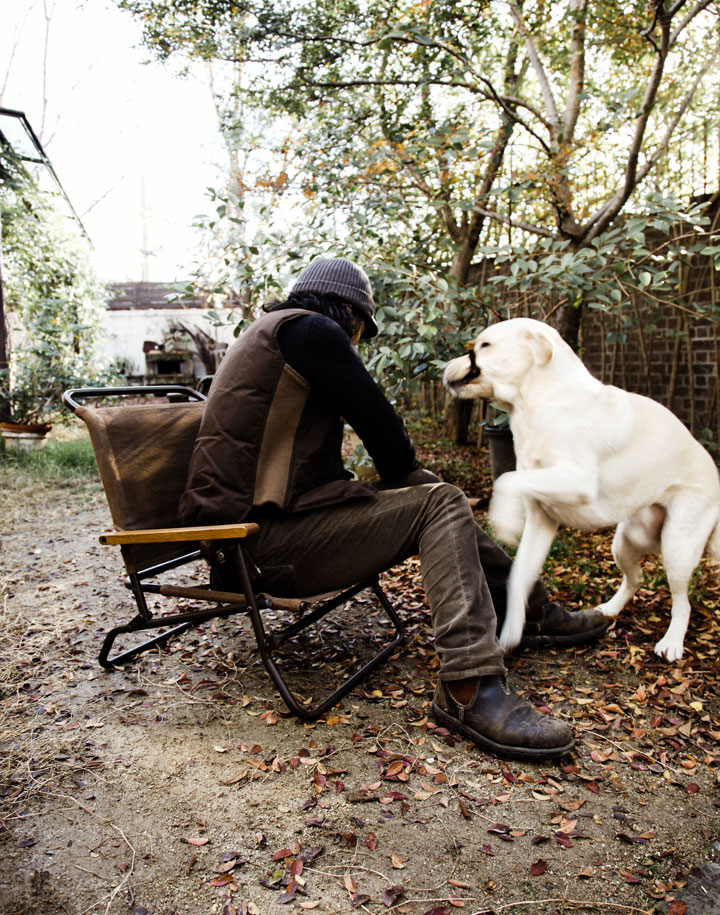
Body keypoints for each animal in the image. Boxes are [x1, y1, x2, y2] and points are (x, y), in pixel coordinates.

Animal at [444, 318, 720, 660]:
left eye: (484, 345)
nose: (445, 367)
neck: (540, 404)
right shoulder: (541, 519)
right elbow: (518, 577)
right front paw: (512, 632)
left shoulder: (578, 480)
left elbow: (506, 479)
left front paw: (504, 520)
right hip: (629, 540)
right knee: (636, 578)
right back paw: (609, 609)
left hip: (676, 548)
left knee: (683, 602)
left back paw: (672, 642)